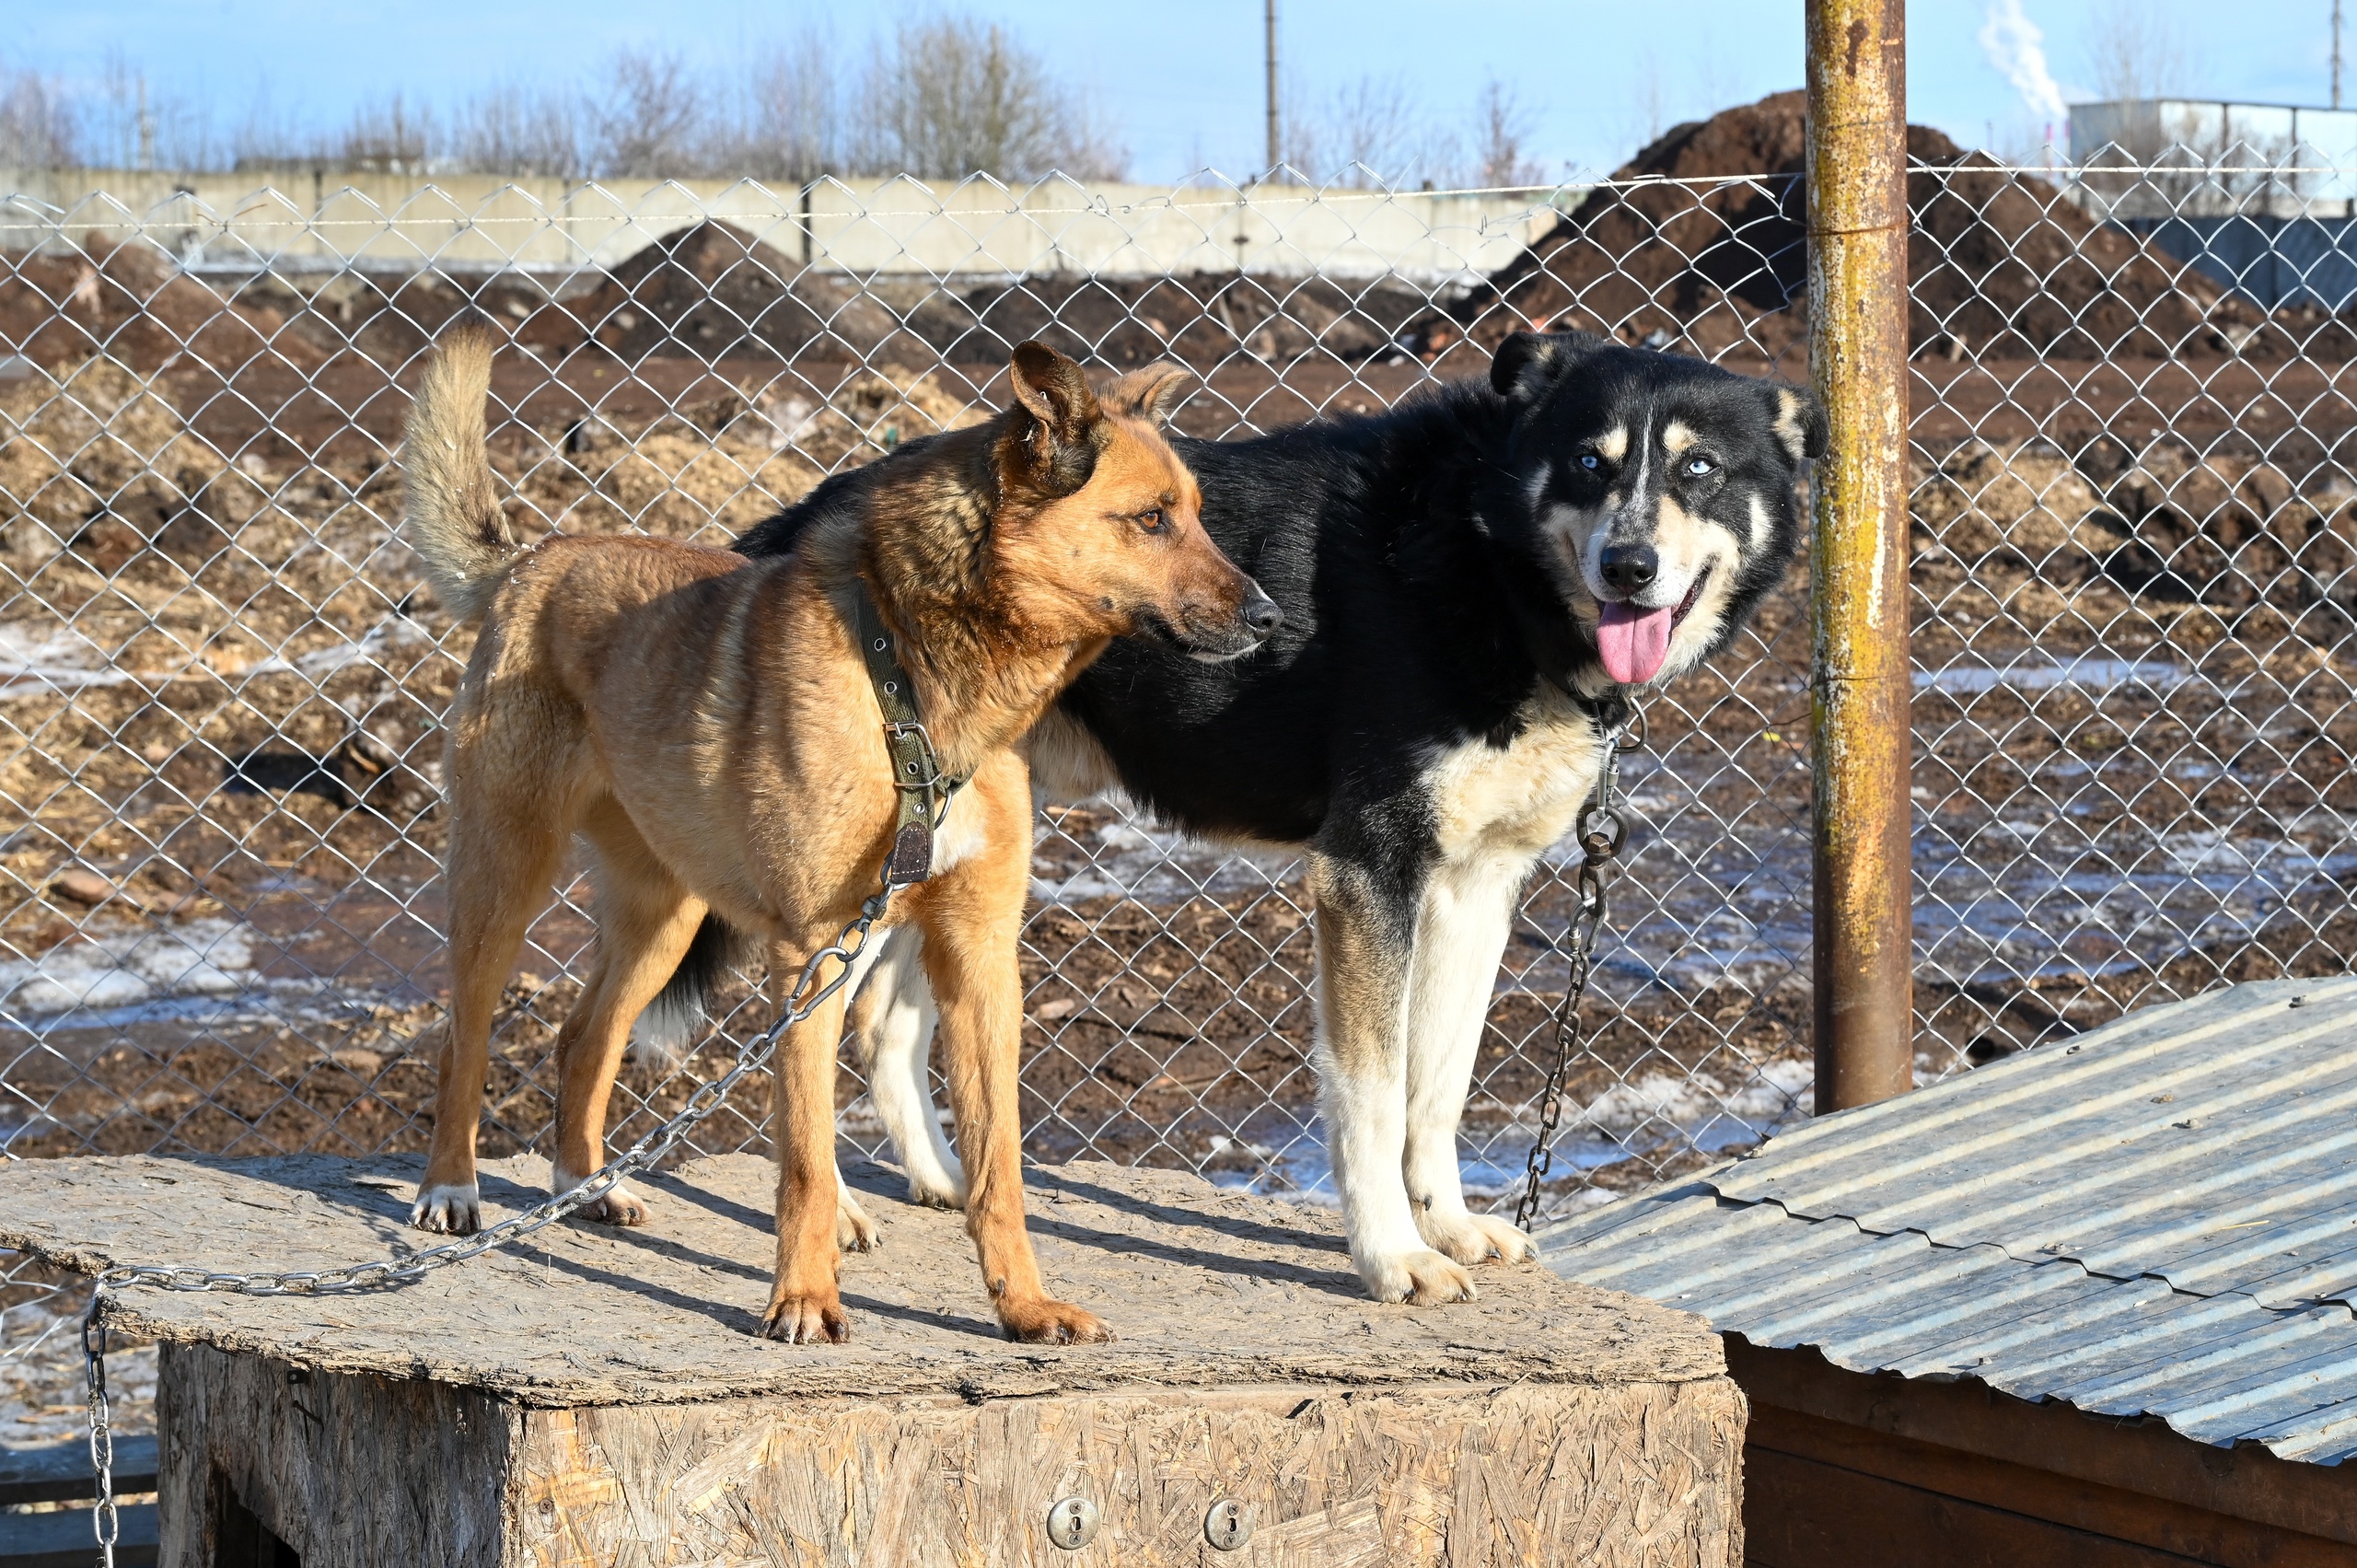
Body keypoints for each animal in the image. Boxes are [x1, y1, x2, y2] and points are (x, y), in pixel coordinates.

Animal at [399, 325, 1274, 1343]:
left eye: (1198, 515)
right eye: (1151, 519)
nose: (1271, 616)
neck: (910, 686)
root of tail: (533, 558)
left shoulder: (977, 956)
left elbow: (996, 1166)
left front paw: (1022, 1305)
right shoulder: (810, 948)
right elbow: (806, 1157)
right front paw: (805, 1299)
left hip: (669, 917)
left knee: (585, 1037)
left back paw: (587, 1184)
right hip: (506, 875)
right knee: (466, 1037)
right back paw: (450, 1190)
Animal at [707, 329, 1826, 1305]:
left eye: (1699, 470)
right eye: (1589, 464)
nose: (1629, 567)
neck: (1480, 557)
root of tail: (805, 519)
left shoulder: (1473, 887)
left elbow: (1440, 1080)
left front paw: (1449, 1222)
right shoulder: (1368, 875)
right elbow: (1372, 1093)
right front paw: (1393, 1254)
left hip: (941, 847)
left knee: (883, 1023)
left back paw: (945, 1182)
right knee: (808, 1024)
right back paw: (840, 1212)